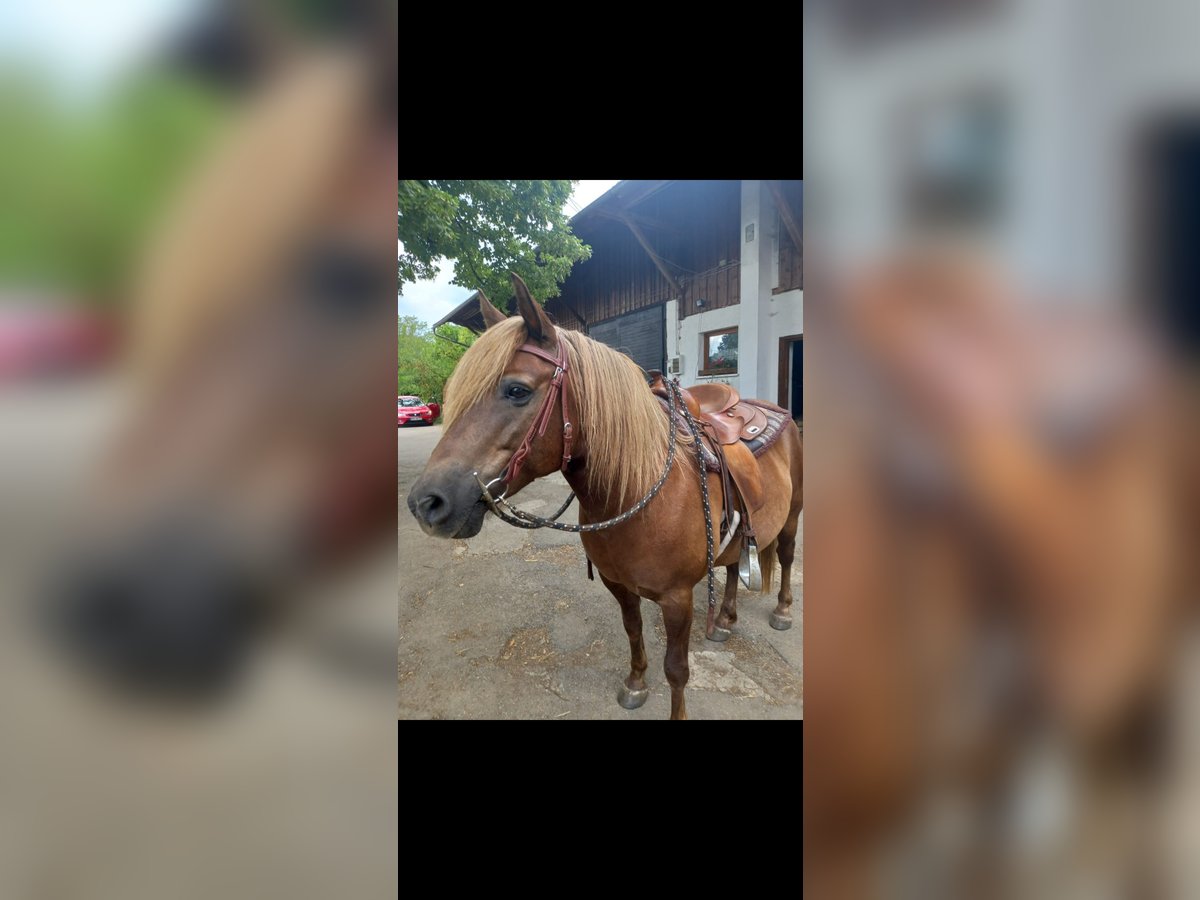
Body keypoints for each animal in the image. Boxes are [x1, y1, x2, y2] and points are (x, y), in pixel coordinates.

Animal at [410, 271, 806, 724]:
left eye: (517, 390)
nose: (426, 503)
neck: (635, 493)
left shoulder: (678, 598)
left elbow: (677, 668)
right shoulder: (618, 584)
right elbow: (633, 631)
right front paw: (635, 684)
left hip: (792, 516)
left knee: (787, 556)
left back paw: (783, 611)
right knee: (731, 568)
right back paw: (724, 619)